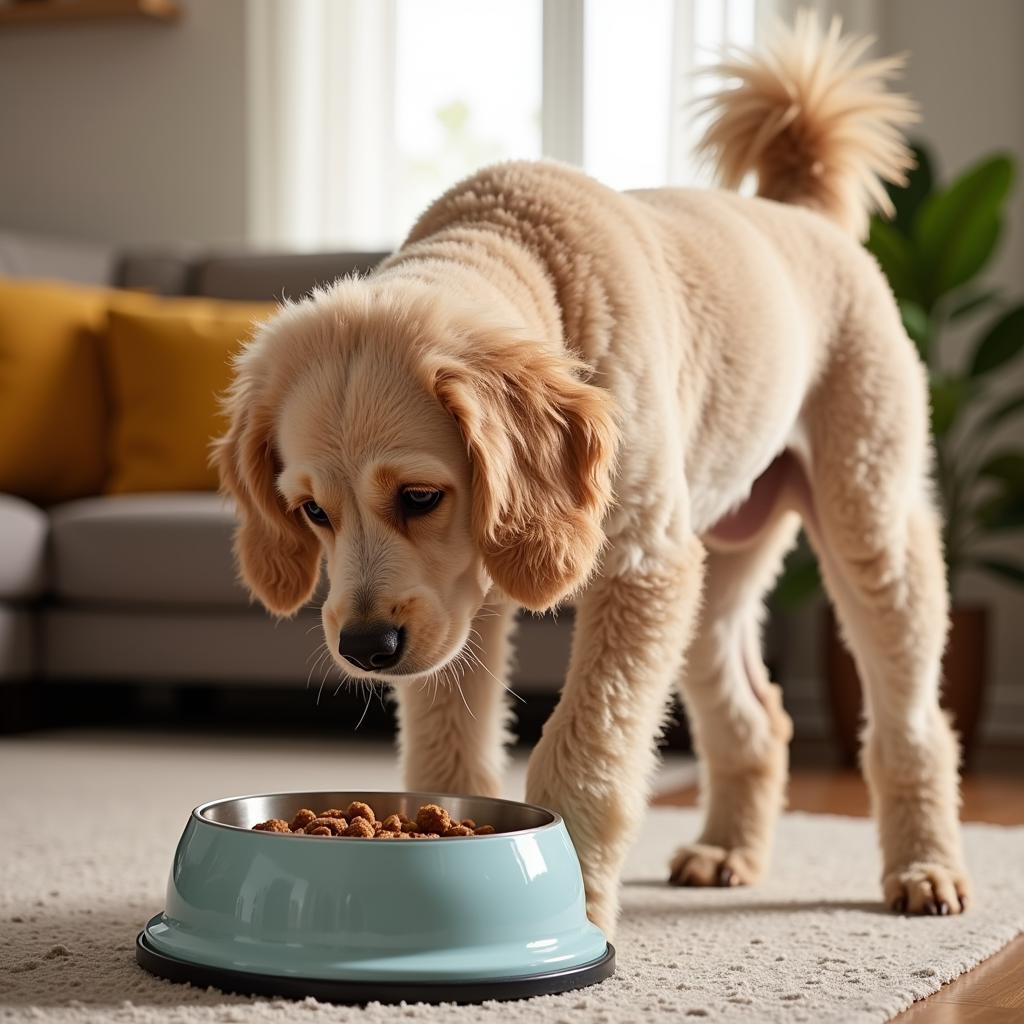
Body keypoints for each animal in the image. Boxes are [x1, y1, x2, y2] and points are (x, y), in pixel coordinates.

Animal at [214, 12, 966, 937]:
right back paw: (727, 850)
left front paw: (579, 902)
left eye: (421, 497)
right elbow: (449, 753)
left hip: (865, 521)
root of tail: (798, 212)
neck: (528, 256)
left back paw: (925, 866)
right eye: (312, 513)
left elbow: (587, 752)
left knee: (912, 721)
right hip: (707, 571)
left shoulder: (637, 569)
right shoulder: (473, 608)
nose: (365, 649)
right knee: (756, 718)